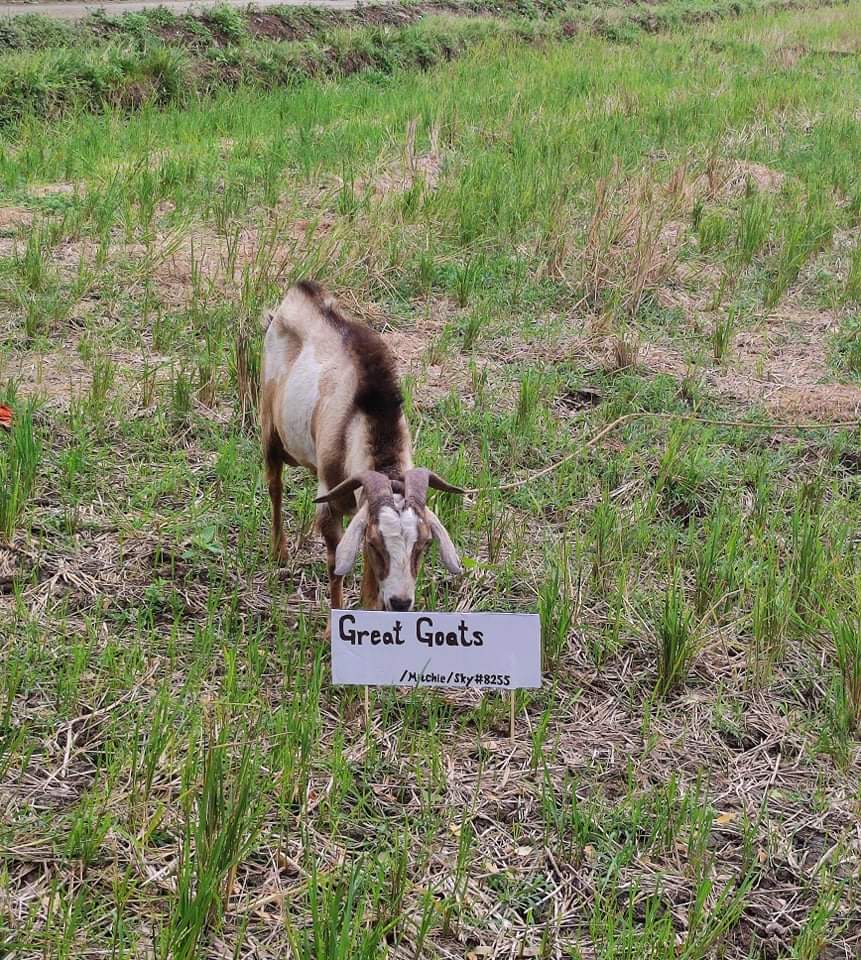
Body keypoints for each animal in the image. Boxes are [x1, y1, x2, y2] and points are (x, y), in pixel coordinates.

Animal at [260, 280, 463, 614]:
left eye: (423, 544)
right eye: (375, 543)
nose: (401, 602)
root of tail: (299, 291)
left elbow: (371, 590)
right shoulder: (330, 508)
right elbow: (335, 568)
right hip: (270, 428)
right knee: (274, 485)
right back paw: (280, 553)